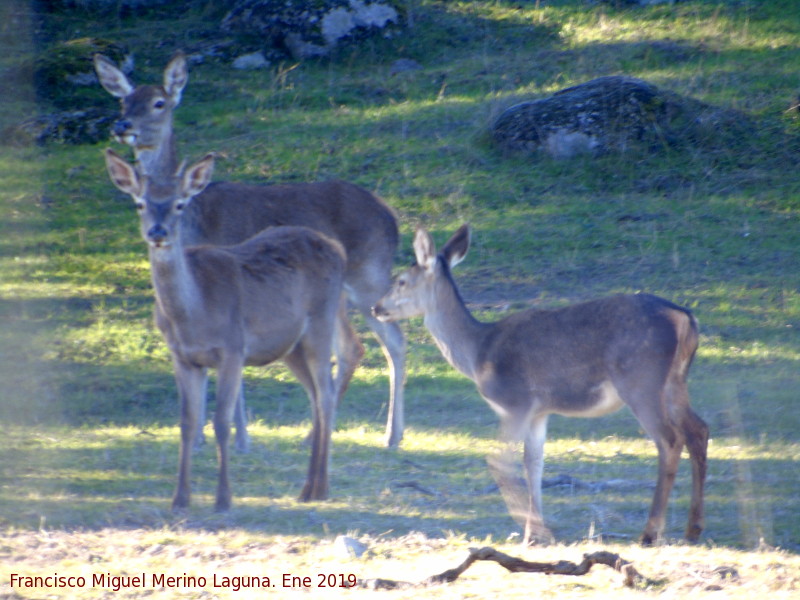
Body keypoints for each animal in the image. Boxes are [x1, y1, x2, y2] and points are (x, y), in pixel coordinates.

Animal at [94, 51, 406, 448]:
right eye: (123, 100)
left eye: (159, 103)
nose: (122, 126)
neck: (195, 219)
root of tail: (391, 216)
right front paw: (205, 435)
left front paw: (238, 436)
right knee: (360, 346)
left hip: (369, 277)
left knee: (391, 342)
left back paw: (381, 435)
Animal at [104, 150, 346, 510]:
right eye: (140, 203)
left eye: (179, 204)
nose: (158, 232)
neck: (194, 313)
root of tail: (337, 249)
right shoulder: (183, 357)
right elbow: (188, 423)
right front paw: (180, 498)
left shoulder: (232, 349)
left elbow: (221, 422)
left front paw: (223, 498)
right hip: (290, 345)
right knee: (315, 396)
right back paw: (309, 488)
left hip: (322, 319)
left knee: (327, 395)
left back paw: (319, 488)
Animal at [372, 224, 708, 544]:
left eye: (401, 280)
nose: (377, 307)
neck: (478, 351)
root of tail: (686, 318)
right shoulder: (539, 411)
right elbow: (533, 464)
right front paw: (534, 533)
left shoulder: (516, 401)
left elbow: (499, 461)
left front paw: (537, 530)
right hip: (674, 382)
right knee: (699, 429)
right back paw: (693, 528)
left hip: (640, 379)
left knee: (669, 439)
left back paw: (651, 532)